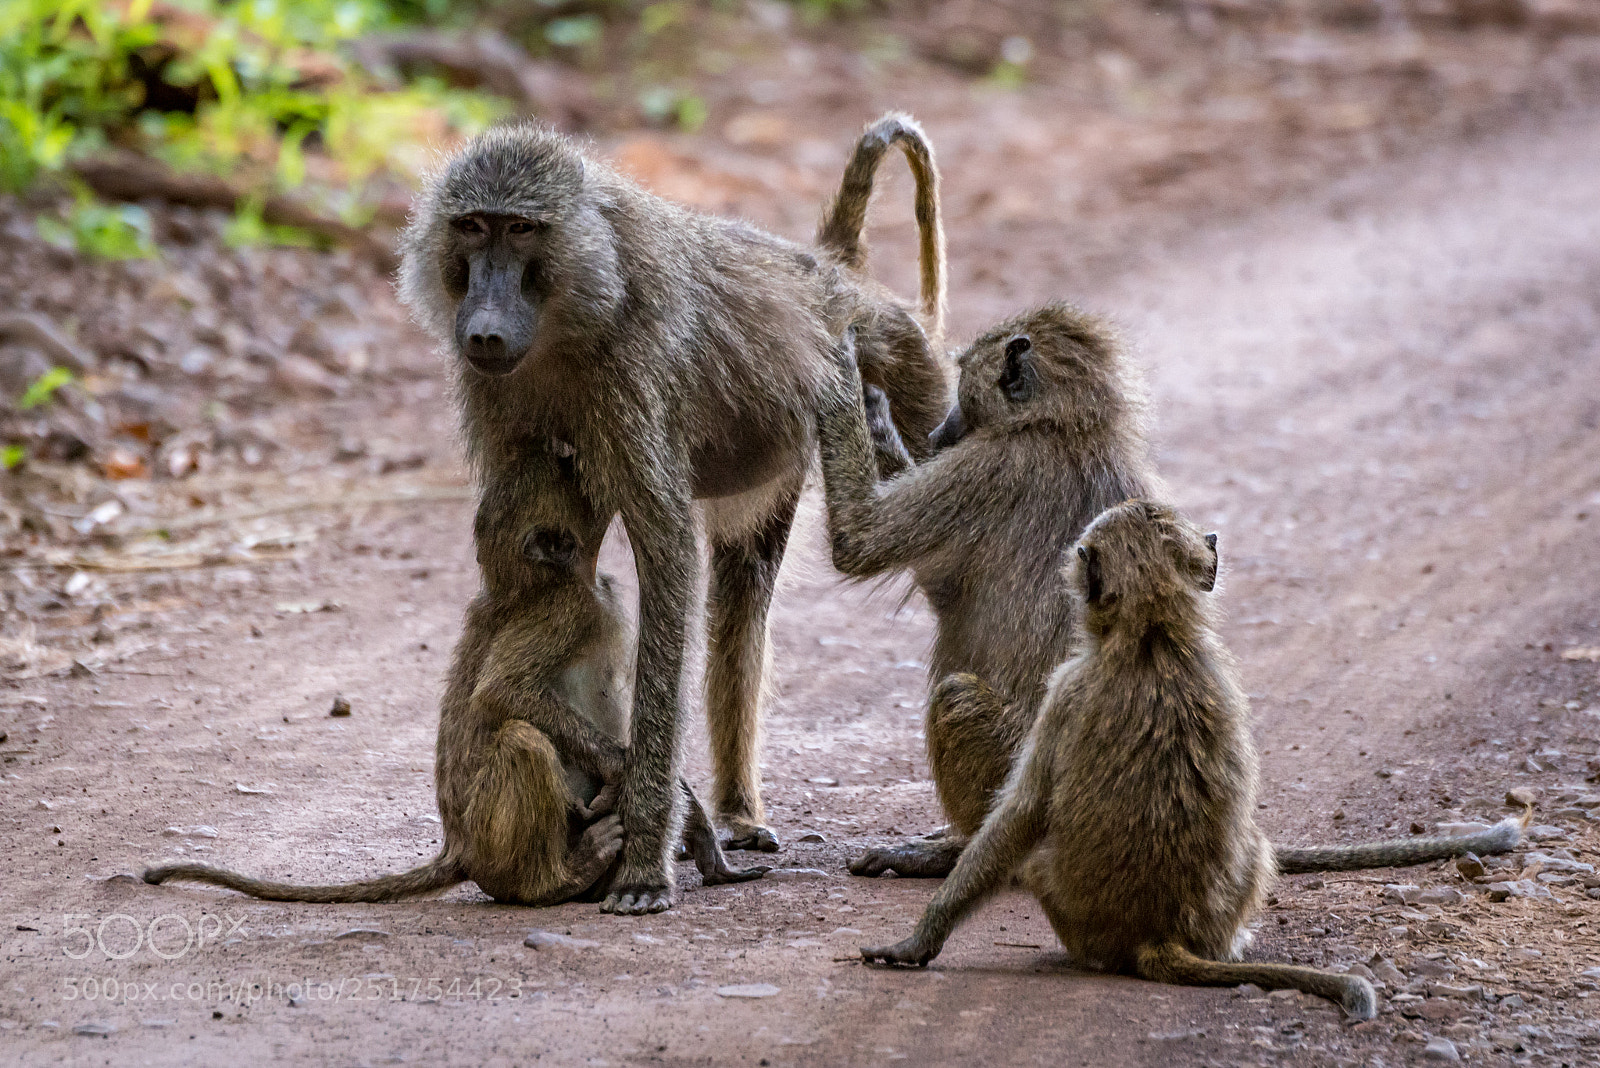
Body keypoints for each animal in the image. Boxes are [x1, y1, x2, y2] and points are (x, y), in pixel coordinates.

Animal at [144, 442, 765, 906]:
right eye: (567, 471)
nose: (571, 450)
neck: (543, 580)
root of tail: (459, 850)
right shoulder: (567, 609)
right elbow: (501, 693)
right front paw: (634, 777)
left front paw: (700, 831)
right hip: (494, 839)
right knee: (520, 741)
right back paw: (558, 878)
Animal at [395, 113, 950, 912]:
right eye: (471, 227)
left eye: (522, 230)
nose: (485, 329)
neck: (576, 313)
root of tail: (831, 269)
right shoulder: (491, 388)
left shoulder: (632, 374)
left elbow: (665, 553)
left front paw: (643, 862)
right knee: (744, 592)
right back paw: (740, 814)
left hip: (899, 360)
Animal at [860, 500, 1382, 1019]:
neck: (1153, 630)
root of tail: (1156, 935)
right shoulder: (1219, 675)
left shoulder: (1065, 688)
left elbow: (1023, 812)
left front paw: (917, 941)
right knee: (1254, 842)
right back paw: (1232, 945)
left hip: (1070, 913)